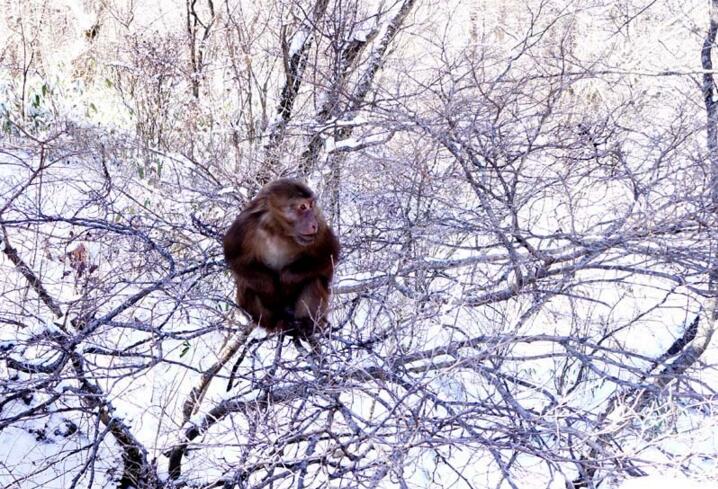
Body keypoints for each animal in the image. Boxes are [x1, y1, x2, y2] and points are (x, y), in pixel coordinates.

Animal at [222, 176, 340, 340]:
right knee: (247, 285)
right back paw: (277, 322)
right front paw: (269, 286)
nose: (313, 224)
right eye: (302, 207)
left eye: (311, 205)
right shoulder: (244, 226)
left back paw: (306, 324)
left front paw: (287, 278)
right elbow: (235, 259)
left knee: (314, 279)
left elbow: (329, 254)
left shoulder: (320, 223)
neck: (278, 229)